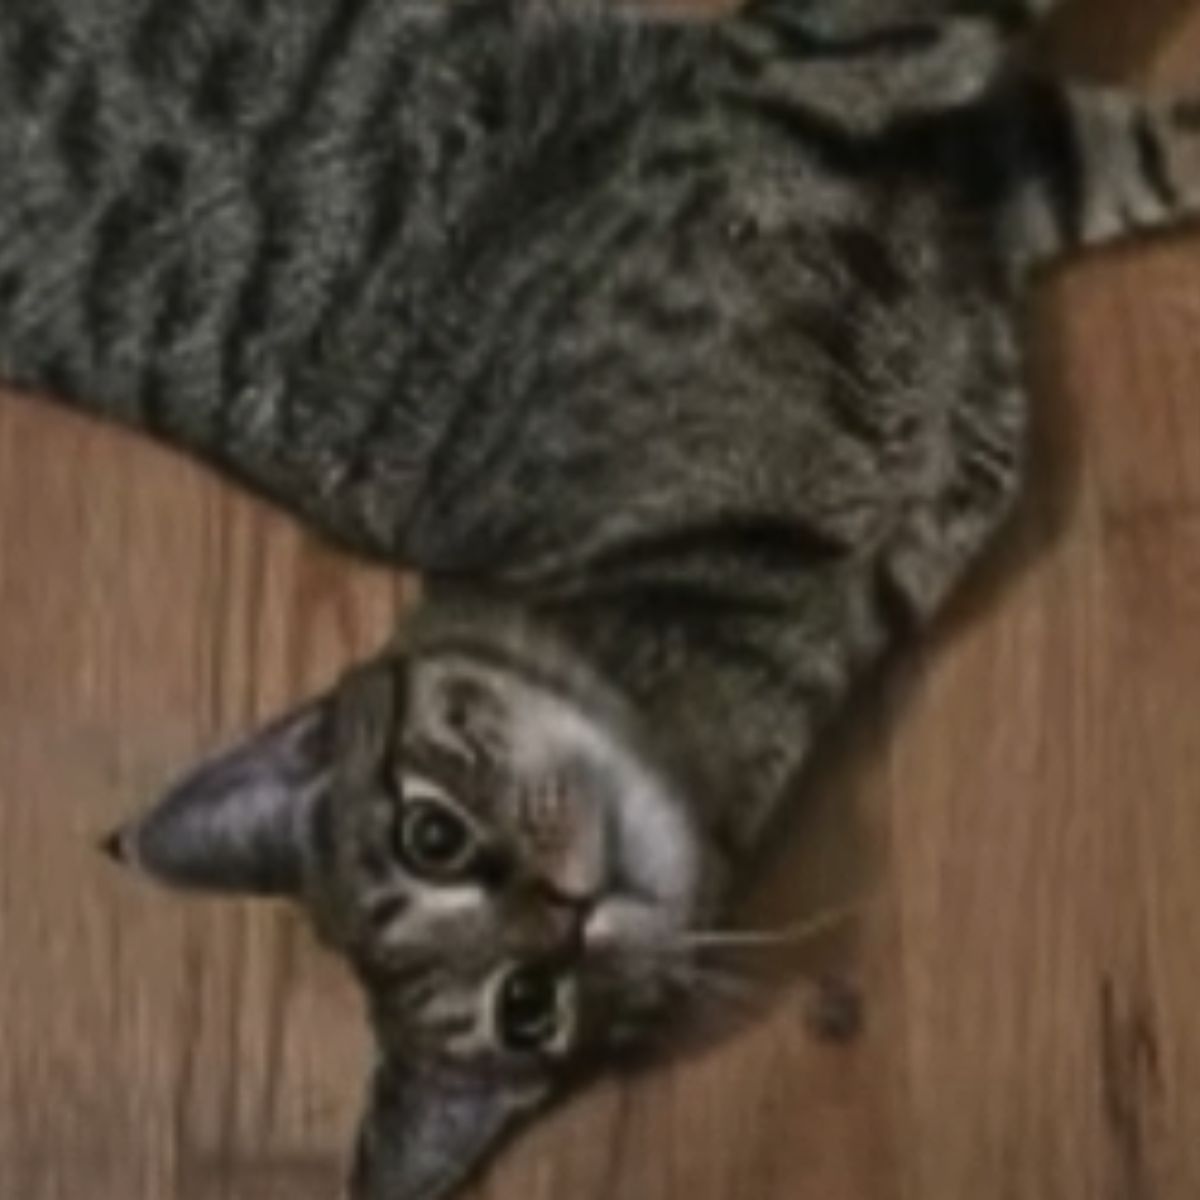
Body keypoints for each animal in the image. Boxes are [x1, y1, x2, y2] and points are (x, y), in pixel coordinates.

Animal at [0, 2, 1195, 1200]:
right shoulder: (906, 128)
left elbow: (1138, 132)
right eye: (527, 1009)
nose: (569, 913)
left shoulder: (857, 105)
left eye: (431, 835)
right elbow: (1146, 146)